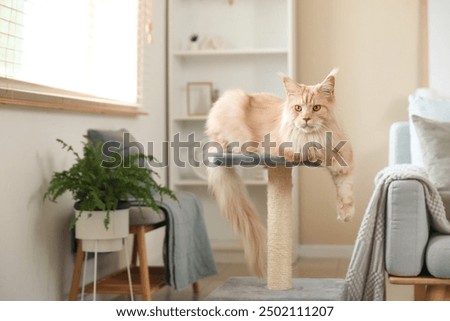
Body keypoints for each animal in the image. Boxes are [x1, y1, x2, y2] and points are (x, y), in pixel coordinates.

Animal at [205, 69, 356, 276]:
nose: (306, 119)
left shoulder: (344, 152)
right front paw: (325, 158)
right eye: (298, 108)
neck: (314, 136)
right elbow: (314, 153)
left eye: (316, 108)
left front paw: (346, 213)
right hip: (233, 109)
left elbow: (345, 187)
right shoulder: (287, 149)